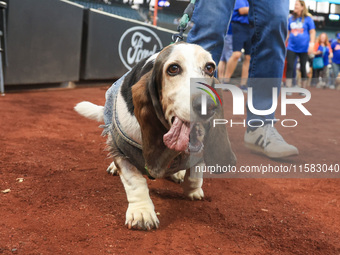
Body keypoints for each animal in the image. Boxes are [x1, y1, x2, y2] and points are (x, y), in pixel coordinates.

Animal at [74, 40, 235, 230]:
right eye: (173, 69)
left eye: (209, 67)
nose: (208, 105)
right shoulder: (124, 148)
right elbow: (135, 182)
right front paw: (142, 213)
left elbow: (195, 175)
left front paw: (193, 191)